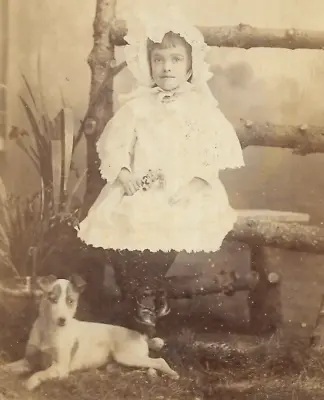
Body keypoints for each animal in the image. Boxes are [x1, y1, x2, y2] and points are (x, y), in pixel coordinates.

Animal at [0, 276, 178, 390]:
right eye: (52, 299)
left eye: (70, 301)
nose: (62, 320)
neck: (49, 330)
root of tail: (141, 335)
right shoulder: (28, 360)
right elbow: (7, 367)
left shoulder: (60, 368)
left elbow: (38, 374)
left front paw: (28, 383)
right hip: (120, 363)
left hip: (127, 356)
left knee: (159, 361)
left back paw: (172, 374)